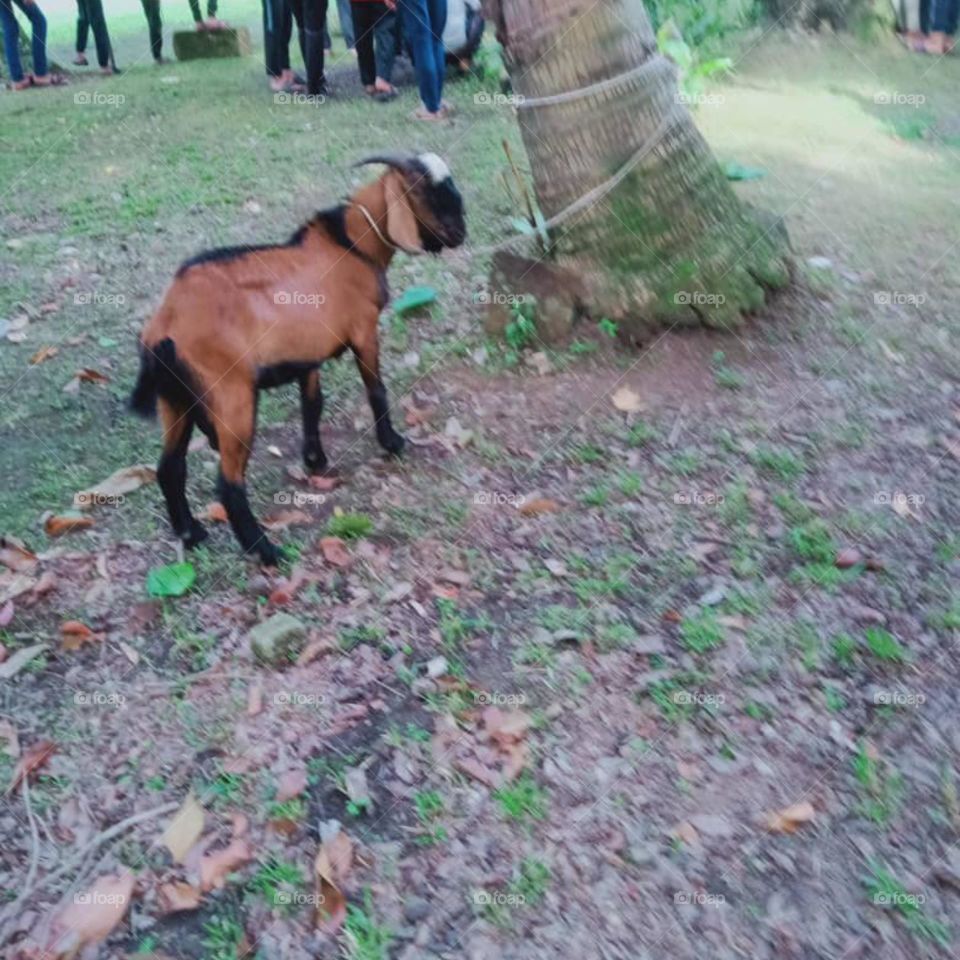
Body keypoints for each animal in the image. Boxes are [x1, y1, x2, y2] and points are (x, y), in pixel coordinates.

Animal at [130, 153, 466, 565]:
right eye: (427, 192)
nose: (461, 231)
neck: (350, 244)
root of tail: (166, 323)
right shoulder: (364, 331)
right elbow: (376, 389)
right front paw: (392, 443)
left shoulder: (309, 356)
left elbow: (312, 404)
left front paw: (315, 460)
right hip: (232, 395)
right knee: (228, 483)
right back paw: (265, 550)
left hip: (175, 398)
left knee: (169, 467)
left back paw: (191, 533)